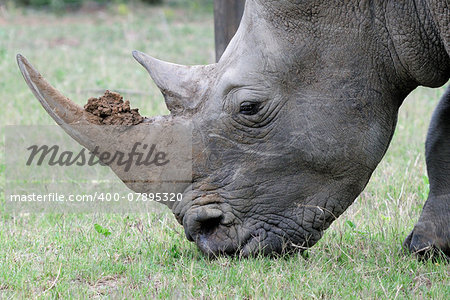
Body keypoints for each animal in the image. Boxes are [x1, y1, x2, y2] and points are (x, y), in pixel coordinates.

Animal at [15, 0, 448, 258]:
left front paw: (425, 248)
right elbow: (440, 132)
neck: (388, 12)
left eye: (249, 108)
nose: (205, 237)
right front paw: (429, 247)